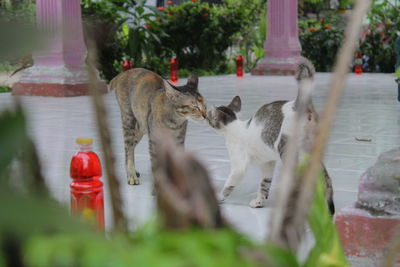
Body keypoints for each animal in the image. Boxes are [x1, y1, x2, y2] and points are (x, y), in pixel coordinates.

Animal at [206, 61, 334, 215]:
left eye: (209, 116)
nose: (204, 114)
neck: (236, 128)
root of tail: (300, 105)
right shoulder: (267, 163)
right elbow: (264, 185)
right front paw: (259, 202)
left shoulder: (239, 166)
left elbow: (229, 183)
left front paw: (219, 197)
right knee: (326, 178)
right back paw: (328, 209)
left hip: (286, 149)